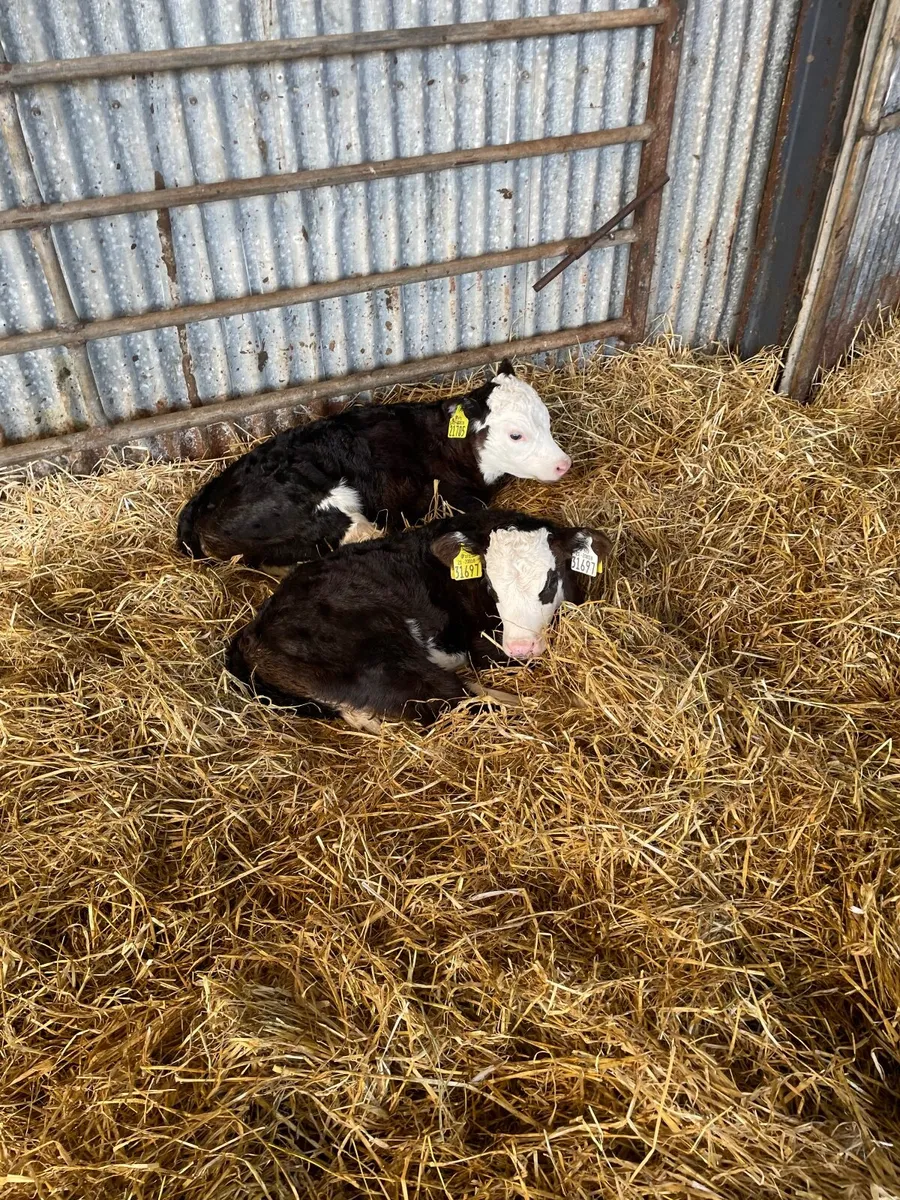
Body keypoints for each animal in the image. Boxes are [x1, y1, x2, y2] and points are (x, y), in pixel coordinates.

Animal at [225, 508, 611, 731]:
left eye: (550, 580)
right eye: (490, 585)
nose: (520, 647)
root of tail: (250, 634)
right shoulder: (484, 648)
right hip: (383, 662)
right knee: (456, 702)